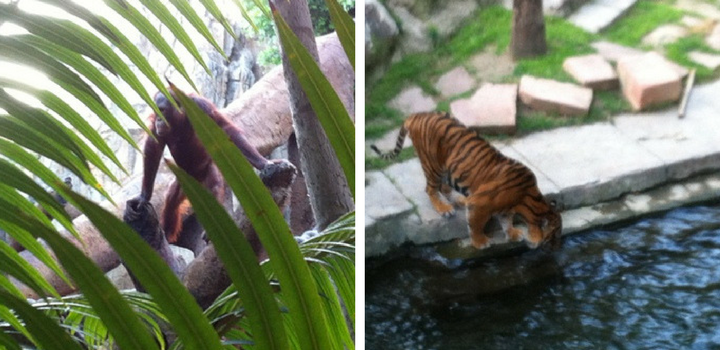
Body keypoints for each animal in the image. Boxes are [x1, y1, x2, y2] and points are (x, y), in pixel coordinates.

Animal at [372, 111, 564, 249]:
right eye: (553, 236)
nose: (556, 248)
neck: (527, 199)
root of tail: (416, 115)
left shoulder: (504, 208)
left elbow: (506, 220)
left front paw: (513, 233)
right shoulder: (480, 203)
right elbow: (476, 223)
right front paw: (481, 242)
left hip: (446, 170)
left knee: (444, 188)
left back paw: (458, 200)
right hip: (433, 165)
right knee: (430, 189)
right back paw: (444, 209)